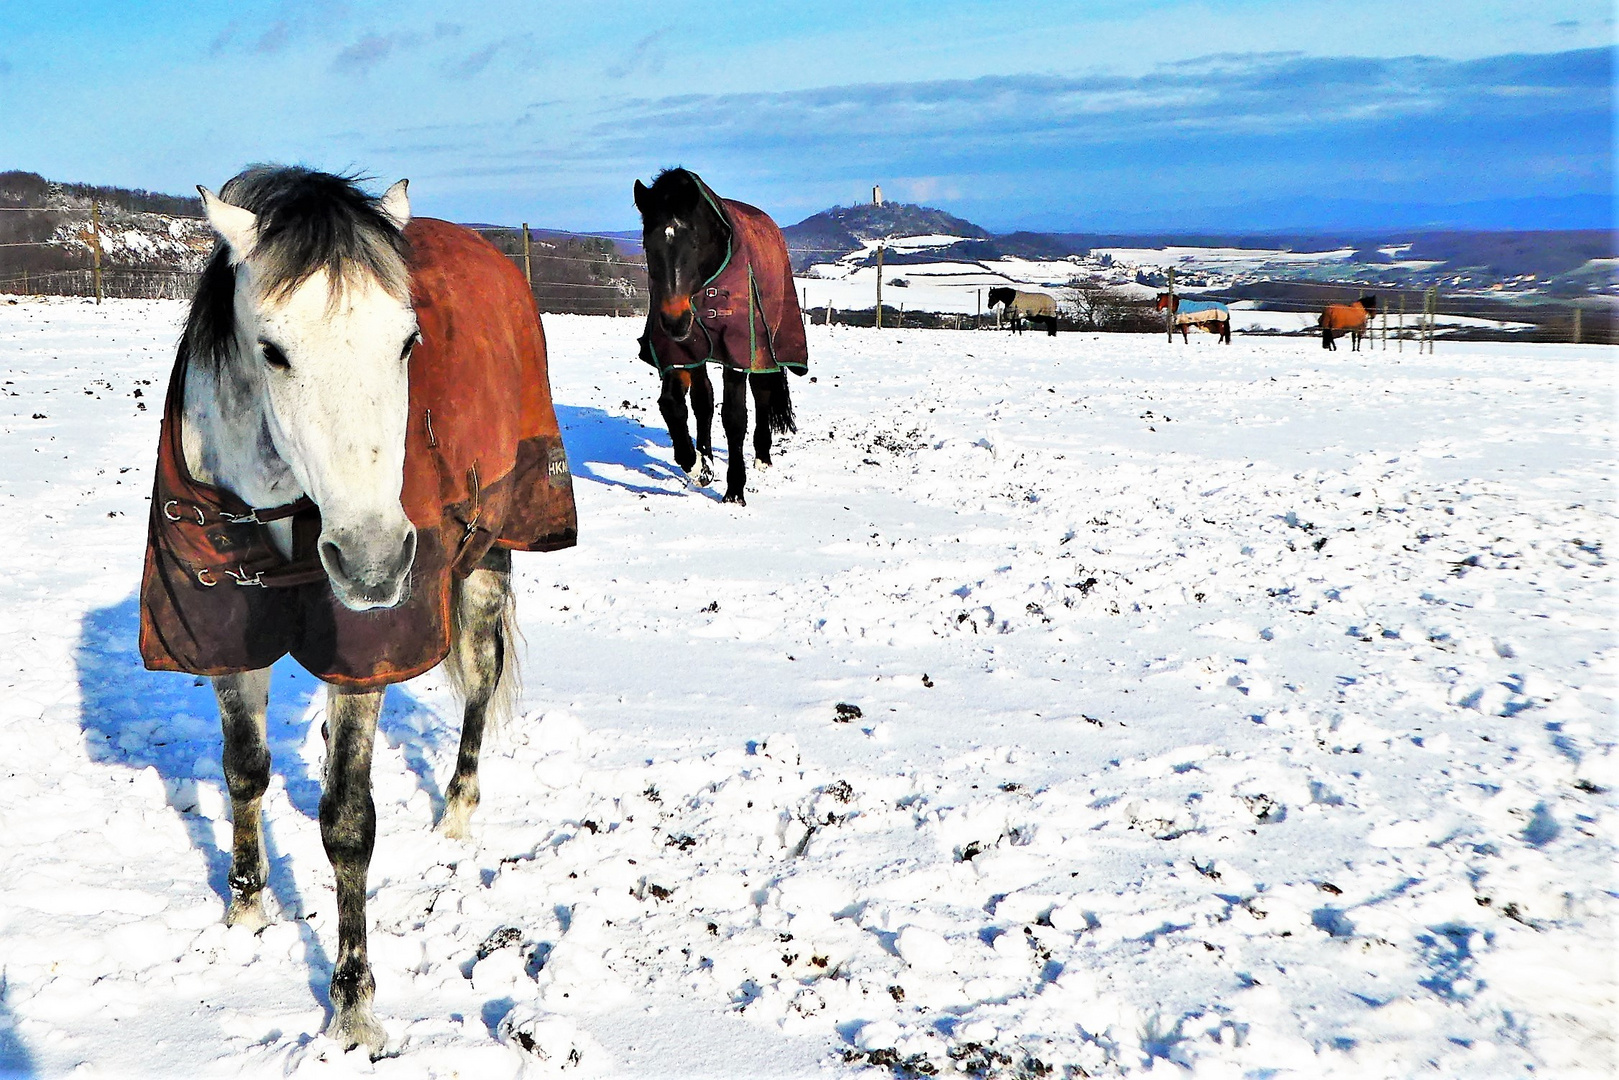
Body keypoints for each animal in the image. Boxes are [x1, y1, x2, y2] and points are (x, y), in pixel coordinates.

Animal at [137, 169, 576, 1055]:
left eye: (407, 342)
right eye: (273, 351)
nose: (373, 563)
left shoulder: (362, 656)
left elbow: (347, 822)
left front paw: (352, 1008)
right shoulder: (225, 632)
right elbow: (243, 771)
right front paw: (245, 913)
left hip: (489, 559)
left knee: (481, 684)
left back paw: (456, 812)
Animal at [631, 169, 809, 508]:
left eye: (694, 243)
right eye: (647, 244)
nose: (674, 321)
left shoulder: (737, 352)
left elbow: (734, 417)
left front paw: (735, 491)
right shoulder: (681, 352)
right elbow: (675, 404)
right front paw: (695, 464)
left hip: (764, 345)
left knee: (762, 392)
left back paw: (762, 457)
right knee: (703, 400)